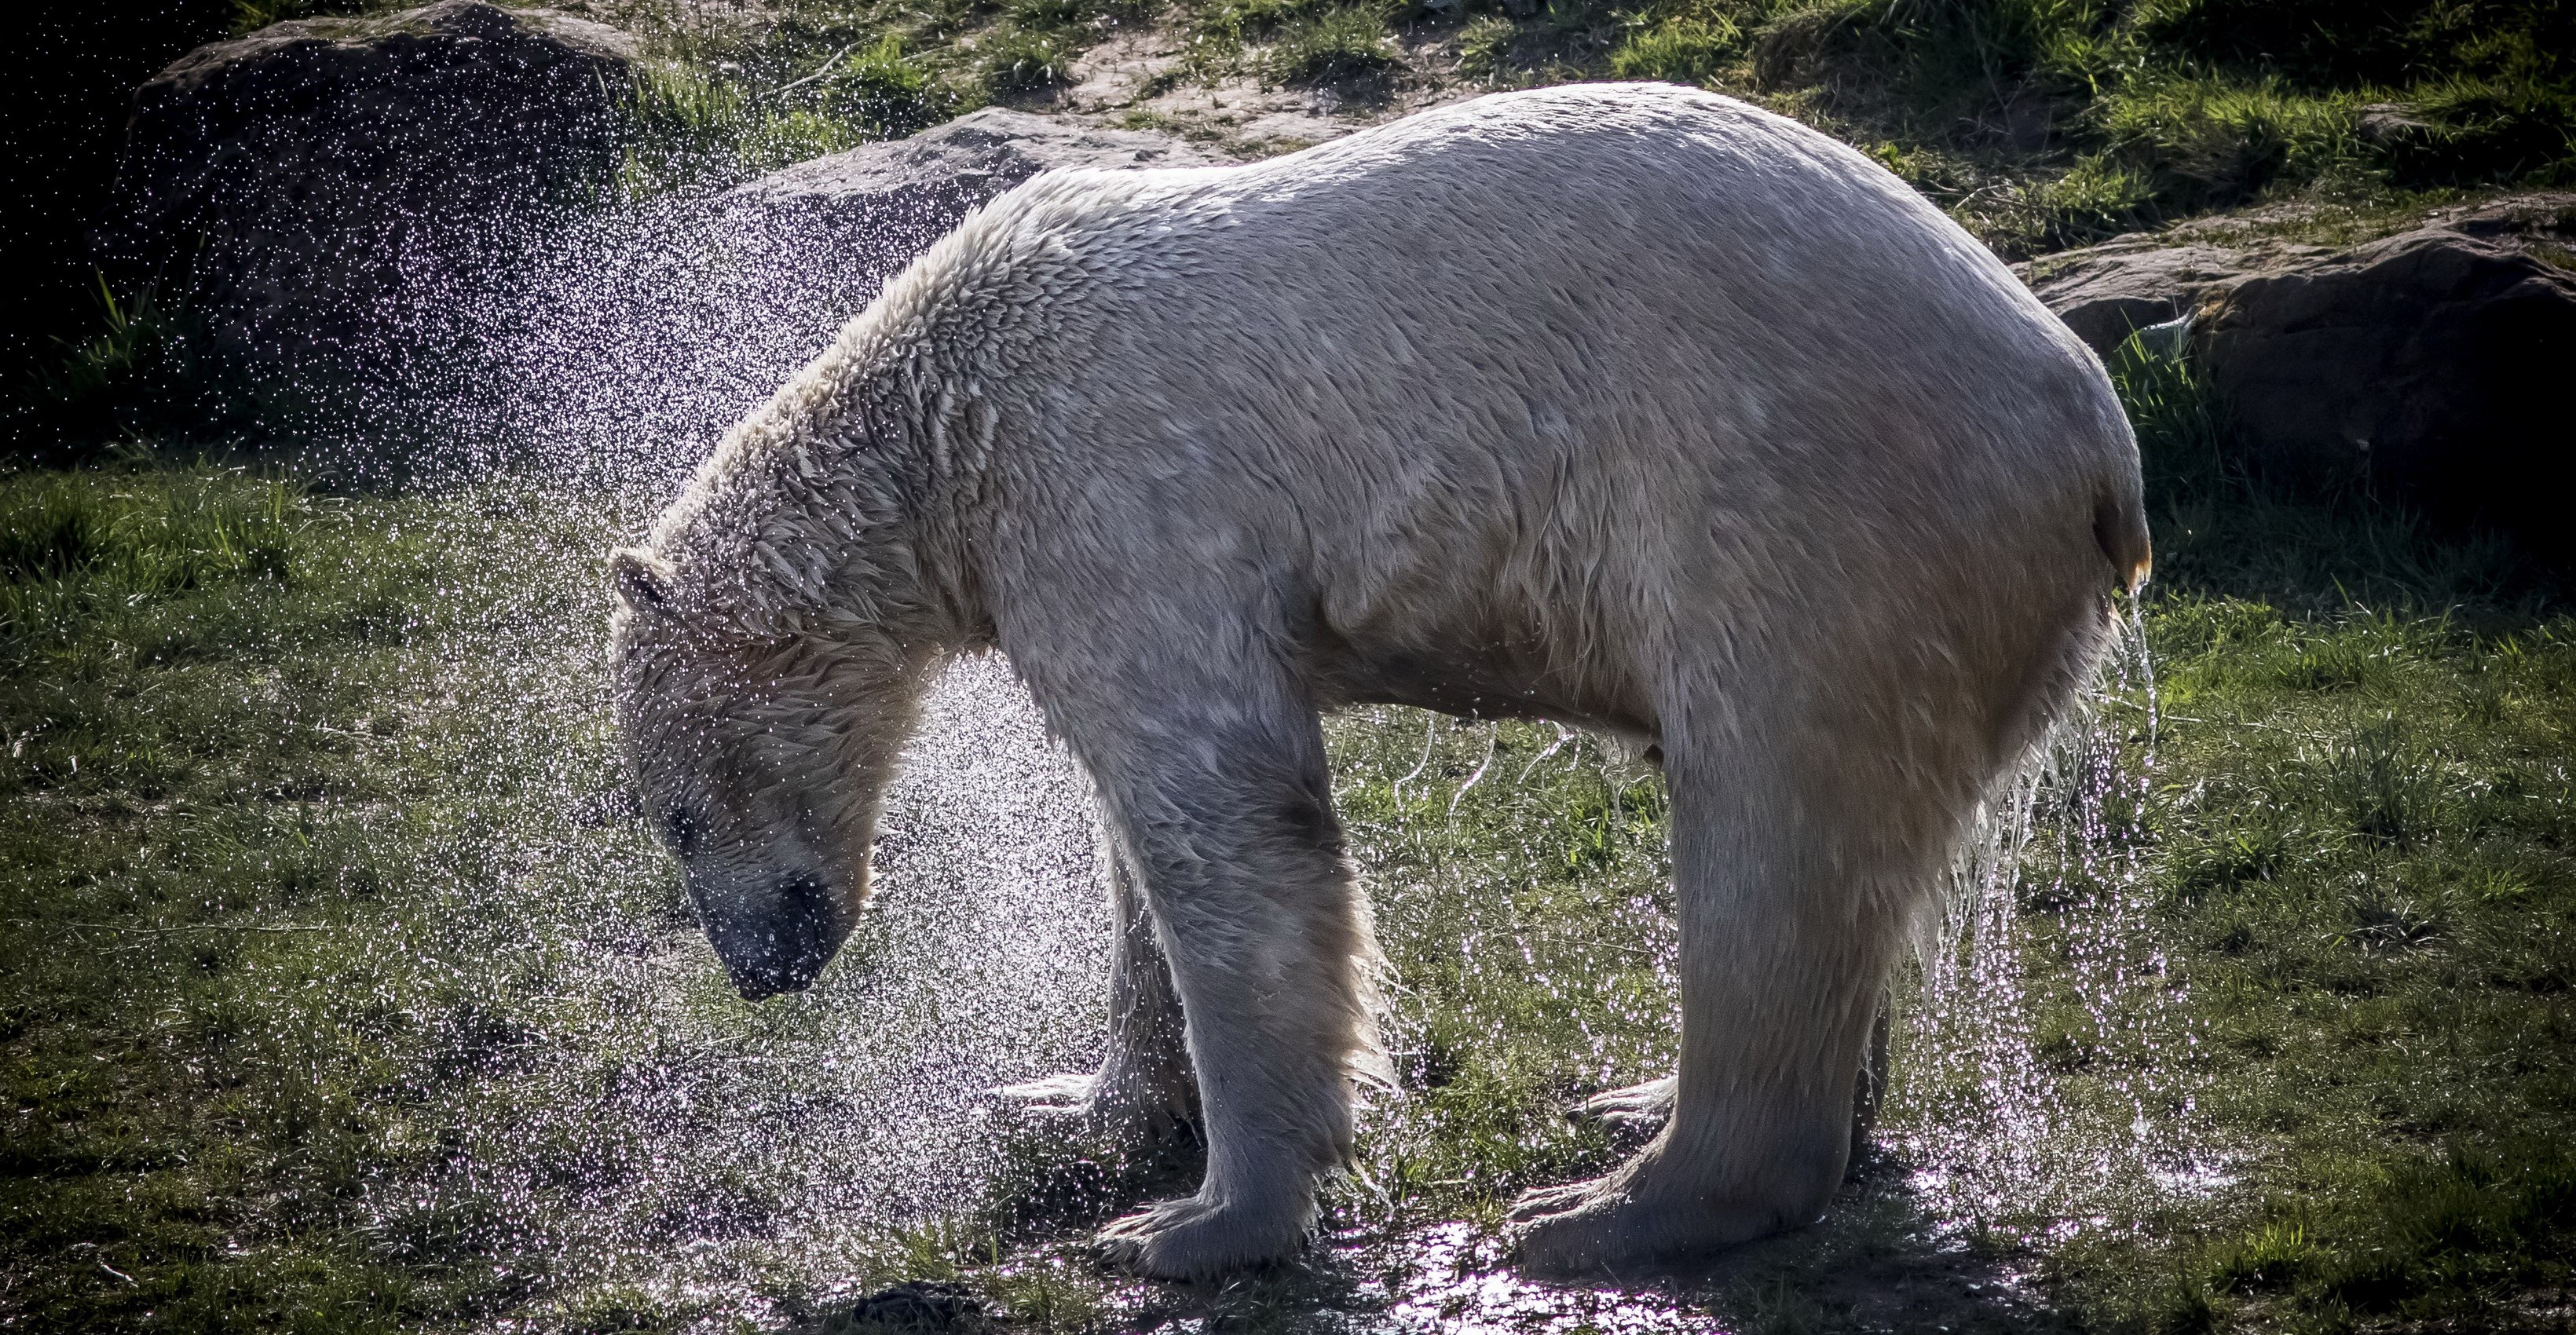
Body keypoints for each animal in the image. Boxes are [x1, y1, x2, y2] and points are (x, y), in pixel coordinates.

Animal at [606, 82, 2151, 1280]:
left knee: (1773, 827)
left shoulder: (1113, 493)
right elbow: (1137, 852)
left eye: (673, 814)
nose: (760, 967)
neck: (941, 414)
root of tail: (2092, 431)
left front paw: (1197, 1226)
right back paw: (1639, 1111)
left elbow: (1225, 818)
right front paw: (1074, 1108)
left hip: (1817, 520)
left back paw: (1611, 1200)